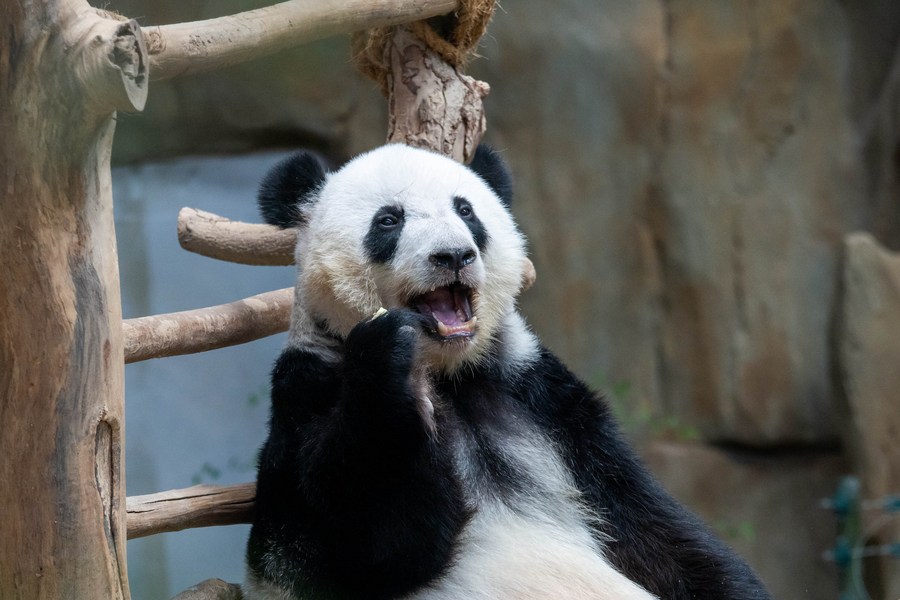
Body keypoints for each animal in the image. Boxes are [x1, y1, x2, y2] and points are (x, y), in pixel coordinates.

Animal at [244, 144, 771, 600]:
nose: (453, 255)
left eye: (466, 211)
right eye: (389, 220)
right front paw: (390, 360)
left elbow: (654, 531)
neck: (449, 374)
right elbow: (361, 541)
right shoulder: (309, 387)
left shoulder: (543, 401)